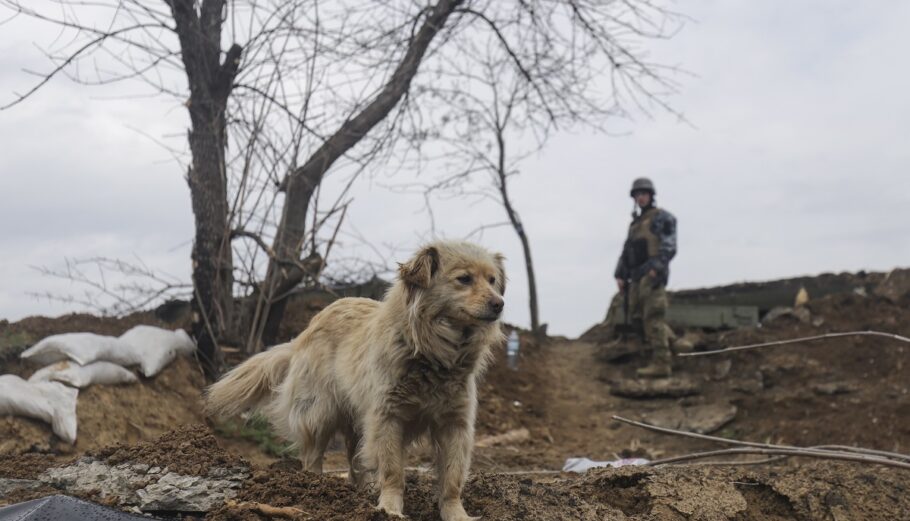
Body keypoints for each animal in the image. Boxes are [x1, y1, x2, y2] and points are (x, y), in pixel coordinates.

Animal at [207, 240, 506, 520]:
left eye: (493, 281)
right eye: (464, 279)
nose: (500, 304)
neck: (433, 352)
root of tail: (306, 331)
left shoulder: (455, 424)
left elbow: (452, 478)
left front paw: (457, 514)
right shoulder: (387, 418)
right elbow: (393, 470)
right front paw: (390, 509)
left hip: (357, 419)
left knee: (355, 459)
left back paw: (361, 492)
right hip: (321, 411)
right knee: (314, 454)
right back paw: (314, 486)